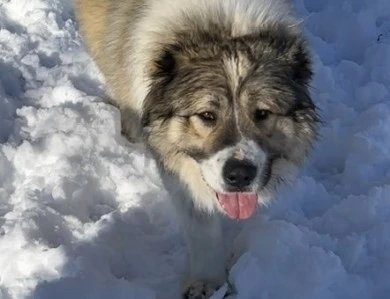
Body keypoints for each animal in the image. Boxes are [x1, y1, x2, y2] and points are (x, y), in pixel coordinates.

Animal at [74, 0, 318, 298]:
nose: (239, 175)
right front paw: (207, 281)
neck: (221, 27)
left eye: (262, 113)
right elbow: (201, 225)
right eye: (207, 115)